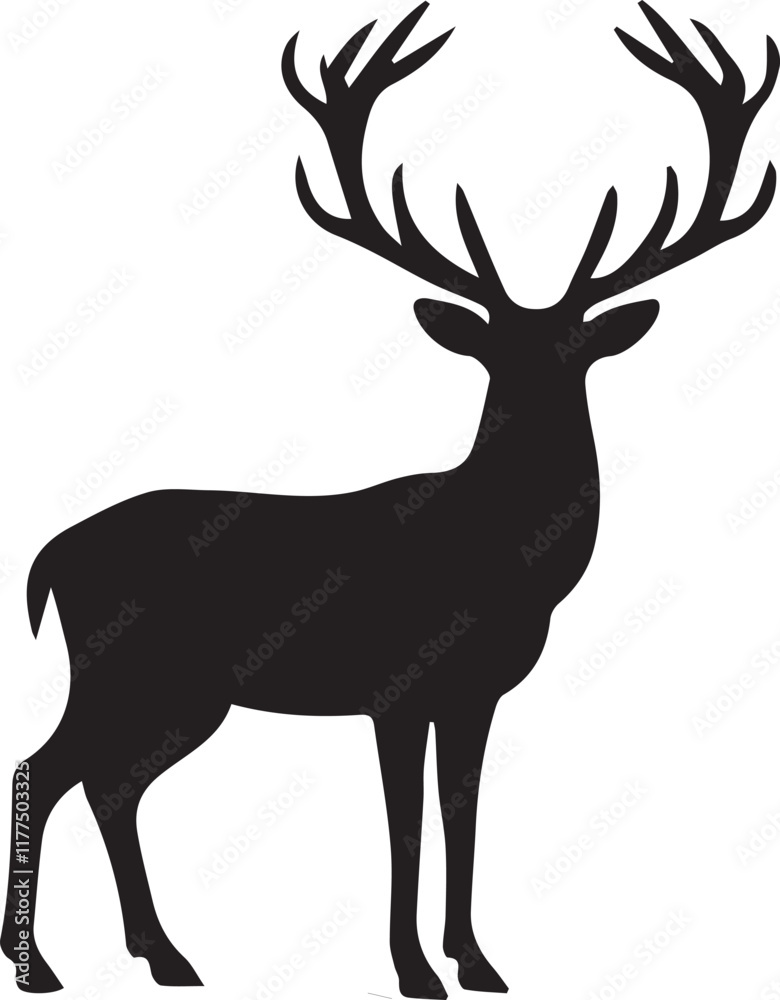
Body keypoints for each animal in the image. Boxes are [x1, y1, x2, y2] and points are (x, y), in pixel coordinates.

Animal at [2, 2, 777, 997]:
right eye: (495, 361)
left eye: (577, 357)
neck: (499, 560)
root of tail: (49, 557)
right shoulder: (398, 684)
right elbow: (403, 828)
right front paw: (415, 971)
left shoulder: (477, 691)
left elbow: (463, 818)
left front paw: (478, 962)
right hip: (130, 667)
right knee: (48, 765)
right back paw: (42, 966)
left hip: (175, 692)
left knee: (109, 783)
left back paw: (162, 956)